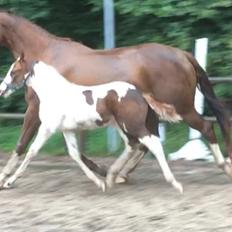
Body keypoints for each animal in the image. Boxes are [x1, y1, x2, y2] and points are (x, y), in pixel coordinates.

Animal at [0, 57, 183, 193]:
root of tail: (138, 92)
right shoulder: (67, 130)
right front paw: (100, 183)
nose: (2, 89)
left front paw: (9, 182)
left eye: (14, 71)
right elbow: (75, 154)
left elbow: (32, 151)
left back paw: (175, 183)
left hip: (133, 125)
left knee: (152, 144)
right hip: (121, 125)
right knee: (132, 145)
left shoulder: (47, 128)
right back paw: (110, 177)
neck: (54, 93)